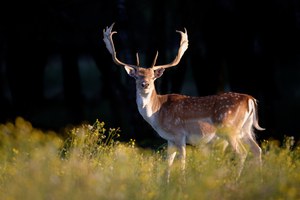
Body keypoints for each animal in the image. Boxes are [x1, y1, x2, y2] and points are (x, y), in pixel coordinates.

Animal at [103, 22, 264, 182]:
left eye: (153, 77)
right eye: (137, 77)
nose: (145, 84)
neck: (157, 114)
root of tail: (250, 99)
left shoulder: (179, 134)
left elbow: (182, 162)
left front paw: (182, 183)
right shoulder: (170, 140)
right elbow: (168, 163)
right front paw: (166, 183)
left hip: (229, 128)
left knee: (242, 153)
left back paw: (235, 180)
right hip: (245, 129)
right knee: (257, 149)